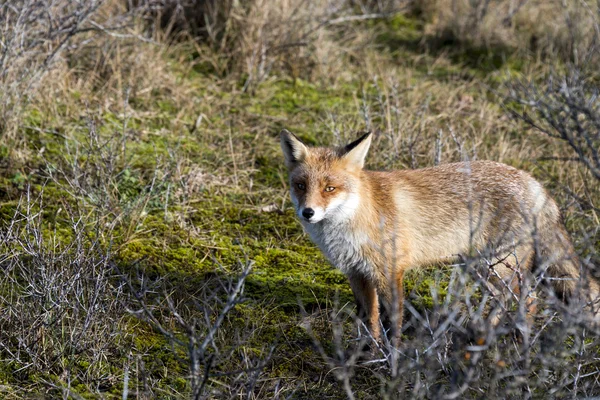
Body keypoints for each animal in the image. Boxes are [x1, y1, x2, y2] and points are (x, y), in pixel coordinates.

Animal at [282, 130, 600, 342]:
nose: (308, 212)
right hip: (483, 267)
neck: (353, 221)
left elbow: (392, 321)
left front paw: (391, 361)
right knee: (506, 298)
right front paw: (365, 356)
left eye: (330, 188)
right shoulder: (357, 273)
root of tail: (536, 184)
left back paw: (515, 343)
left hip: (499, 265)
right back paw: (483, 336)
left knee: (529, 299)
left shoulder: (389, 271)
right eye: (301, 185)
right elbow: (368, 319)